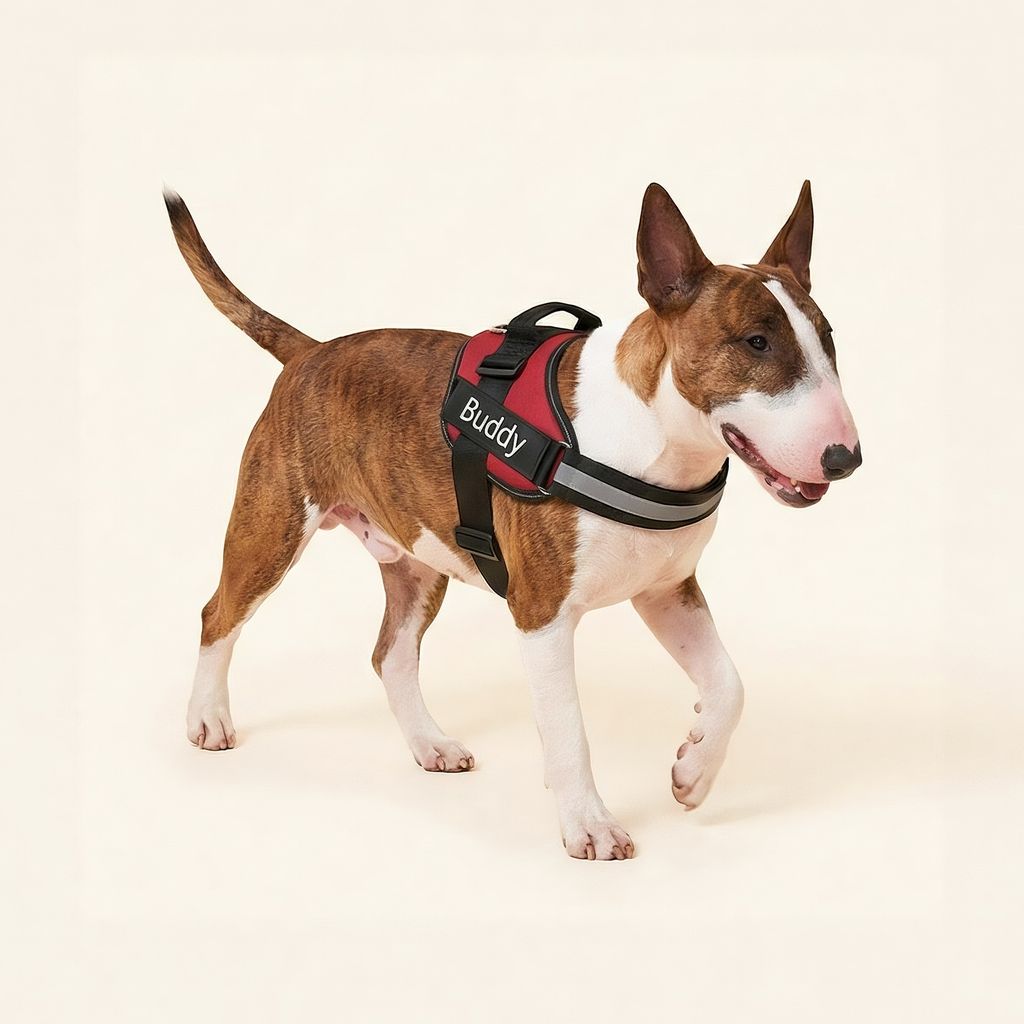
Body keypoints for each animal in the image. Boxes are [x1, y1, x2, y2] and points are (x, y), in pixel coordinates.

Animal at [165, 181, 861, 860]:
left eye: (827, 340)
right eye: (755, 342)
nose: (846, 459)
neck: (653, 439)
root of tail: (310, 353)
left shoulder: (668, 592)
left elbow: (730, 685)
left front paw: (694, 773)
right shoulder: (542, 613)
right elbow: (569, 727)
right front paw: (589, 825)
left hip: (418, 562)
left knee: (391, 655)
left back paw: (431, 745)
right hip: (271, 525)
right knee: (217, 614)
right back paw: (208, 718)